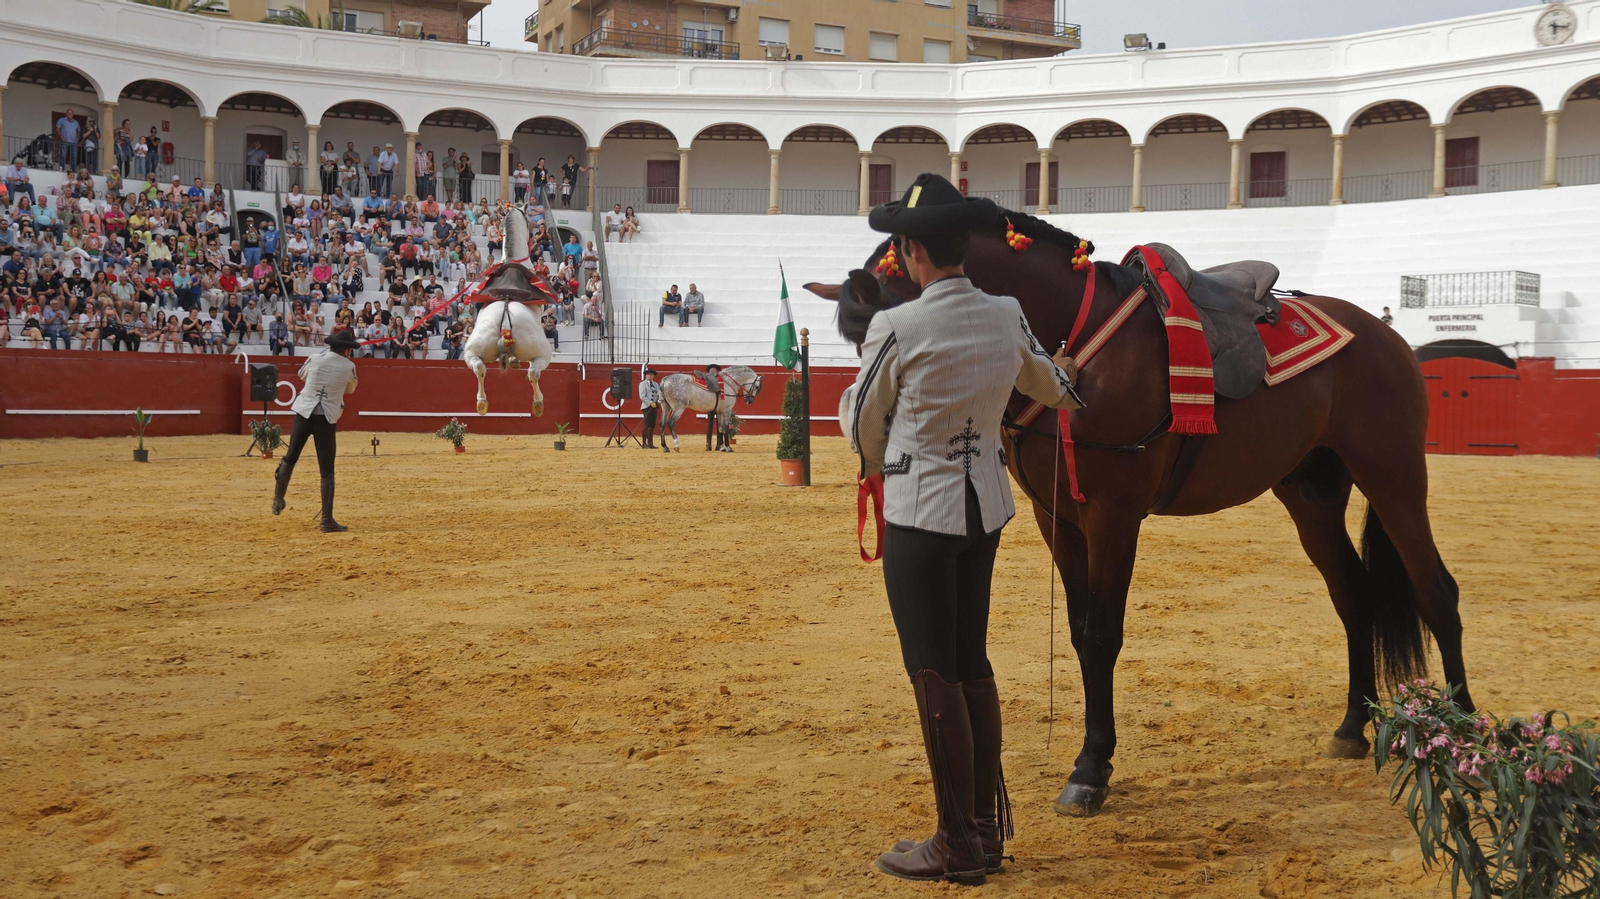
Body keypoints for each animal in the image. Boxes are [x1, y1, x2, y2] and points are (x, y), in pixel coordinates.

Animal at [463, 206, 554, 417]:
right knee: (533, 372)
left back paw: (482, 403)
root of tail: (505, 318)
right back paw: (538, 403)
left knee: (479, 367)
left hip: (471, 352)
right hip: (543, 354)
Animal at [804, 211, 1473, 819]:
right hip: (1310, 496)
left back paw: (1464, 732)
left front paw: (1090, 769)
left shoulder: (1113, 516)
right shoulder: (1057, 518)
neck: (1072, 346)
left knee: (1437, 591)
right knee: (1354, 595)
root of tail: (1385, 336)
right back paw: (1353, 726)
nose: (868, 443)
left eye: (891, 343)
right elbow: (1080, 633)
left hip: (1394, 477)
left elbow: (1103, 635)